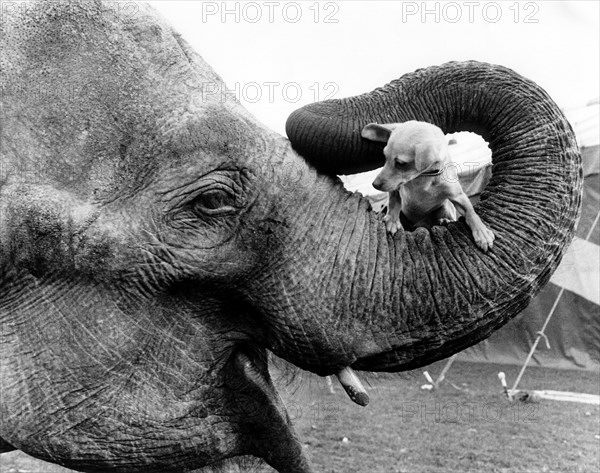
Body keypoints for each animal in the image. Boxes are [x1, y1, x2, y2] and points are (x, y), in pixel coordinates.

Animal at [360, 121, 496, 251]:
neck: (422, 177)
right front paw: (392, 220)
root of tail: (418, 224)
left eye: (400, 163)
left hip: (444, 208)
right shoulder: (395, 189)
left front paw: (481, 232)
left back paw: (445, 221)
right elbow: (394, 203)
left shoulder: (457, 196)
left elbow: (470, 212)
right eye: (385, 157)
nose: (375, 184)